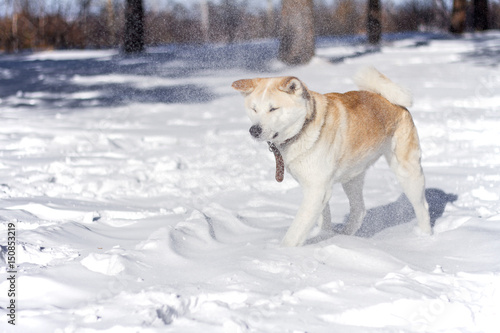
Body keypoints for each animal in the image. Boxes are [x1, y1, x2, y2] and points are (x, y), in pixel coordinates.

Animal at [232, 67, 432, 246]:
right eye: (254, 109)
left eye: (273, 109)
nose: (254, 130)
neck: (304, 127)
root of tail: (386, 97)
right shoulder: (315, 187)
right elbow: (322, 219)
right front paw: (324, 237)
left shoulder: (317, 190)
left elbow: (294, 232)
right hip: (352, 179)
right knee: (359, 210)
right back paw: (345, 237)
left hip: (407, 172)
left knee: (422, 207)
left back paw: (424, 237)